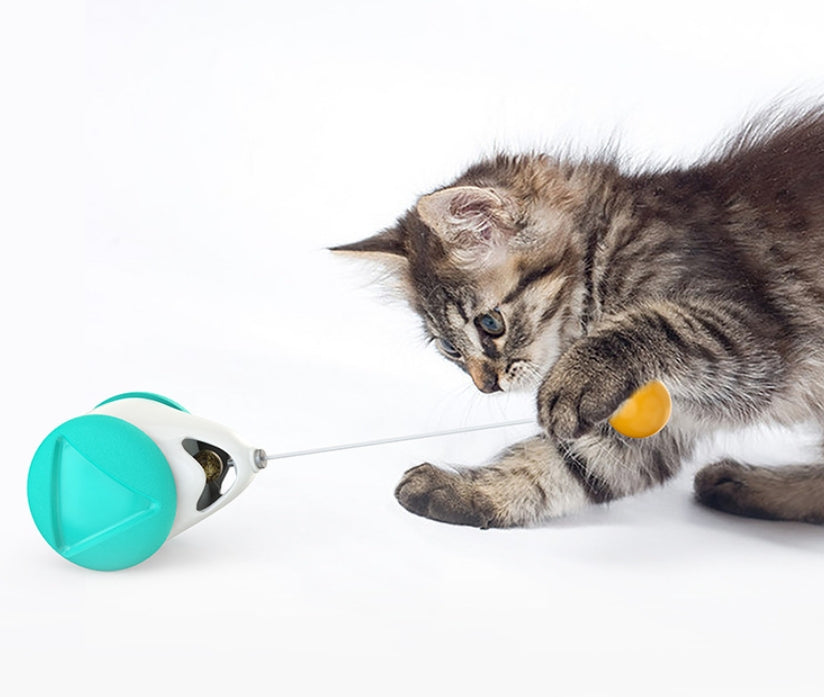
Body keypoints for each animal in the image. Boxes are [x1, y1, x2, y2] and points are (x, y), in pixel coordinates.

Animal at [332, 103, 824, 528]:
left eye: (490, 324)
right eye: (450, 349)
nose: (487, 385)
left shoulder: (752, 337)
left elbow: (655, 324)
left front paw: (575, 379)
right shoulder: (654, 423)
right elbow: (562, 467)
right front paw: (462, 492)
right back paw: (740, 485)